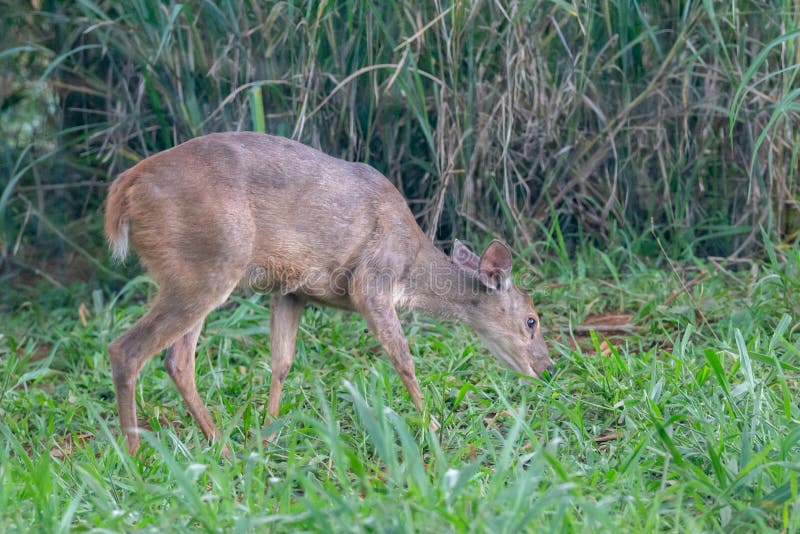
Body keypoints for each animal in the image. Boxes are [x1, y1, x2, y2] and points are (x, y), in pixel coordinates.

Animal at [103, 133, 552, 456]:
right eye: (531, 320)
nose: (546, 367)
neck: (411, 265)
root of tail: (123, 191)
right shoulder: (370, 281)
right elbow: (403, 359)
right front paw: (434, 429)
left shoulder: (292, 291)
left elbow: (281, 363)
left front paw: (267, 437)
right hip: (206, 264)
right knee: (127, 349)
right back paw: (136, 457)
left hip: (199, 271)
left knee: (177, 360)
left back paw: (221, 448)